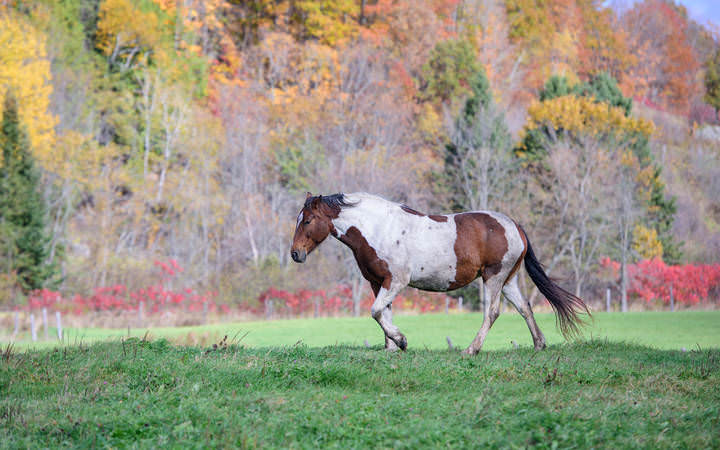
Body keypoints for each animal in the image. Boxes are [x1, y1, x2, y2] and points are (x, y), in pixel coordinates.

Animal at [290, 192, 589, 354]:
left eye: (307, 220)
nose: (295, 254)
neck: (378, 228)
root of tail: (514, 225)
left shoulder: (397, 281)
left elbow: (375, 311)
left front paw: (401, 340)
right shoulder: (377, 281)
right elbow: (383, 312)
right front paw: (391, 347)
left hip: (493, 277)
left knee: (492, 313)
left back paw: (471, 349)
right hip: (508, 280)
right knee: (525, 308)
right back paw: (539, 344)